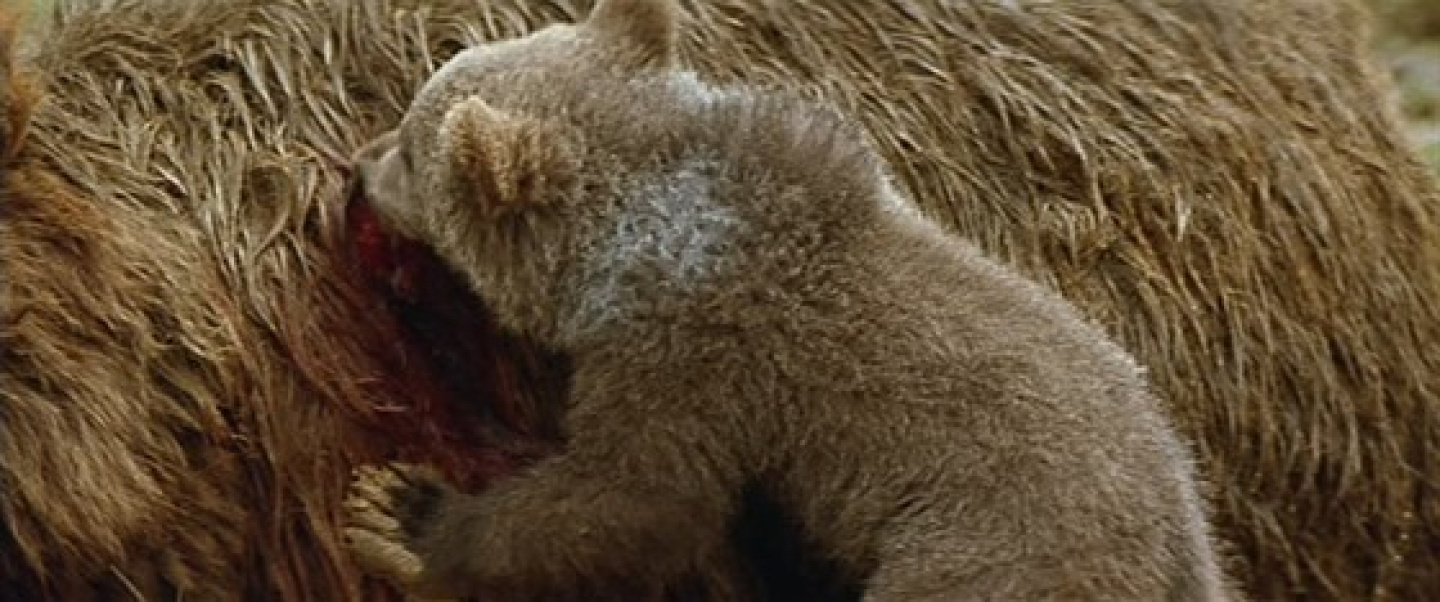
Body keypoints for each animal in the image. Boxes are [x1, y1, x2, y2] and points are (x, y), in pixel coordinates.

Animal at [339, 0, 1233, 599]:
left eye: (414, 152)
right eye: (414, 112)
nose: (359, 161)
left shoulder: (699, 348)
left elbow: (633, 495)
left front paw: (399, 512)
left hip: (995, 552)